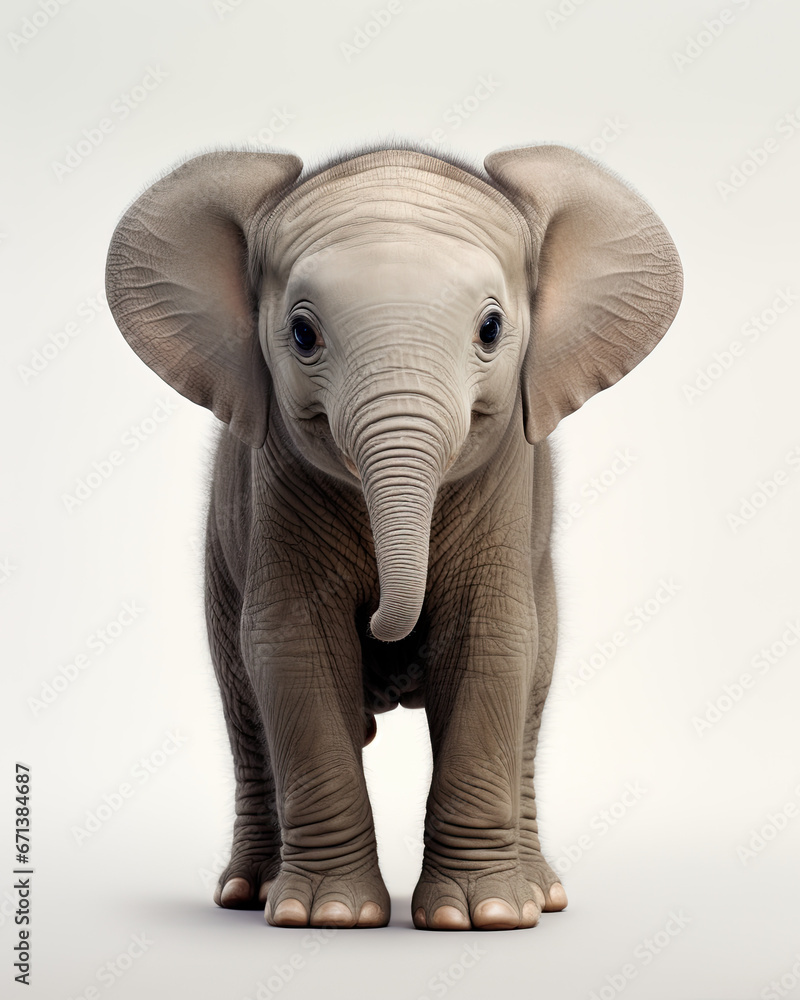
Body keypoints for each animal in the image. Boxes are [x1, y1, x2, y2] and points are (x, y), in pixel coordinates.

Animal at [105, 141, 682, 931]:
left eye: (491, 330)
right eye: (303, 334)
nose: (387, 631)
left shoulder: (506, 476)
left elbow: (490, 640)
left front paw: (484, 916)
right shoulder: (275, 481)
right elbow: (294, 646)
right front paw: (326, 916)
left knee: (532, 680)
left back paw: (542, 894)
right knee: (244, 707)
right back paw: (246, 893)